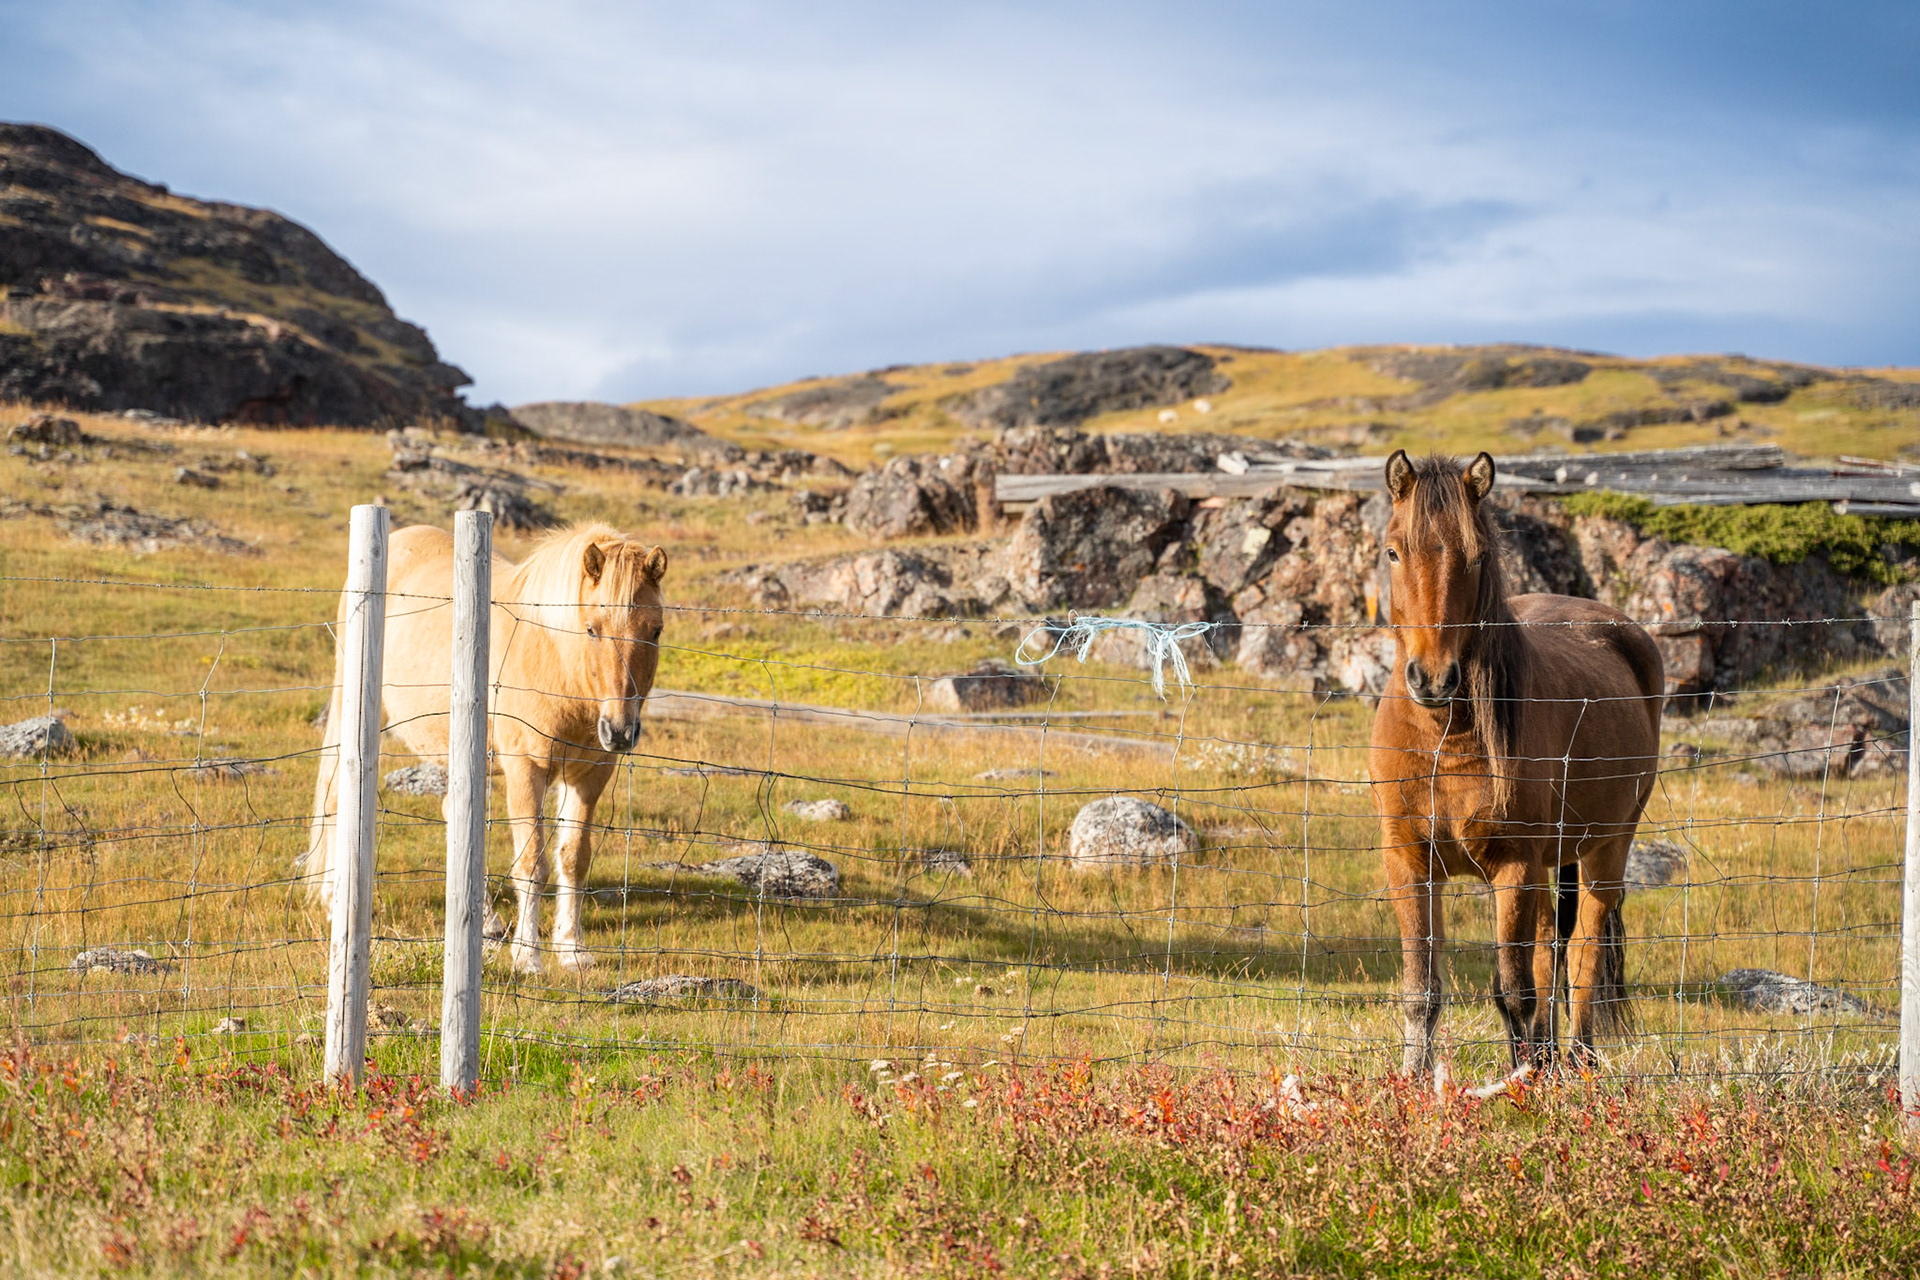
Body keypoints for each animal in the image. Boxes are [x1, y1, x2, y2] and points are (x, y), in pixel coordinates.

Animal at [305, 521, 668, 974]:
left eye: (655, 630)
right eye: (591, 628)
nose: (619, 731)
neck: (552, 658)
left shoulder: (590, 775)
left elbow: (573, 857)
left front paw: (571, 950)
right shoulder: (526, 770)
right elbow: (532, 863)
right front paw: (529, 956)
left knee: (454, 817)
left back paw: (488, 923)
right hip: (353, 714)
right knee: (336, 797)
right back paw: (334, 900)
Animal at [1368, 451, 1664, 1074]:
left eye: (1478, 555)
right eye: (1393, 551)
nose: (1433, 678)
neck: (1444, 739)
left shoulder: (1514, 867)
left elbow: (1511, 988)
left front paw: (1519, 1078)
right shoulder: (1408, 863)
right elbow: (1422, 989)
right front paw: (1411, 1080)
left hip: (1607, 847)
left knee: (1584, 945)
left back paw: (1576, 1057)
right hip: (1555, 859)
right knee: (1552, 943)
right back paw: (1548, 1055)